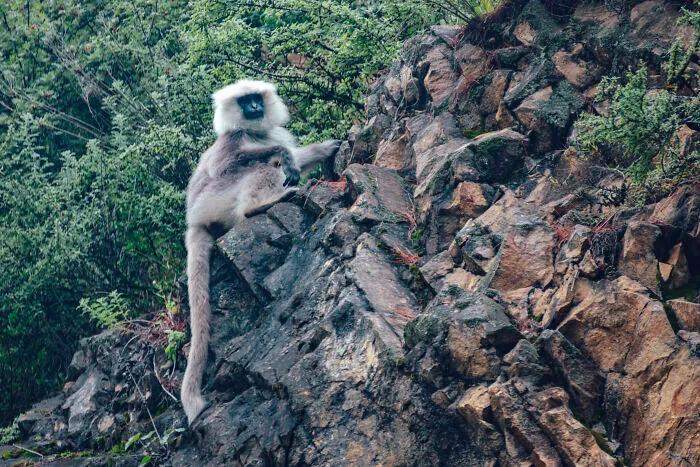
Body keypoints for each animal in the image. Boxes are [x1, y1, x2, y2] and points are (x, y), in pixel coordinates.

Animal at [181, 80, 340, 425]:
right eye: (245, 101)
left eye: (256, 99)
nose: (254, 107)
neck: (255, 132)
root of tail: (194, 220)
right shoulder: (231, 141)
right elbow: (231, 164)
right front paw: (284, 157)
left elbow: (295, 157)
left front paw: (326, 149)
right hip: (216, 200)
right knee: (256, 167)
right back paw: (261, 204)